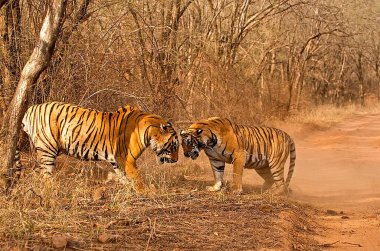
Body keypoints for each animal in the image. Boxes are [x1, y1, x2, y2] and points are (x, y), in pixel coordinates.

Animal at [16, 101, 180, 193]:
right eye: (174, 146)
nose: (177, 160)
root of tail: (30, 109)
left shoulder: (117, 161)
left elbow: (123, 177)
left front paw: (129, 189)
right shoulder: (127, 160)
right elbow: (137, 178)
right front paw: (145, 192)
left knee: (37, 172)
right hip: (47, 149)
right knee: (45, 175)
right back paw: (52, 191)